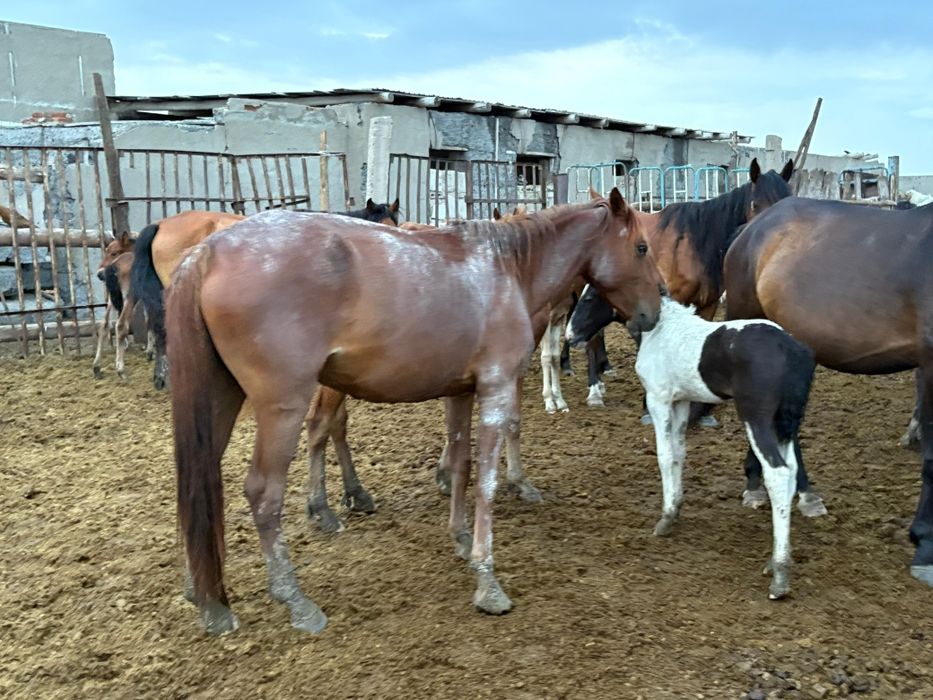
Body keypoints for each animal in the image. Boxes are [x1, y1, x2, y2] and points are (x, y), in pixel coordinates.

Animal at [165, 189, 663, 635]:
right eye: (641, 247)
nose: (656, 308)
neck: (507, 270)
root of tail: (209, 251)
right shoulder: (497, 388)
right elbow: (487, 480)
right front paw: (487, 579)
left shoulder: (461, 393)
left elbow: (460, 465)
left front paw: (460, 538)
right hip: (281, 407)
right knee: (263, 493)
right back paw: (295, 600)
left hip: (221, 398)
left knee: (201, 478)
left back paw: (206, 596)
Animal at [627, 296, 816, 599]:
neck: (664, 327)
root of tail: (792, 350)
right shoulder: (681, 400)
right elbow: (679, 453)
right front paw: (675, 509)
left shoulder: (658, 398)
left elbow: (665, 455)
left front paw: (665, 518)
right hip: (785, 424)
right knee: (790, 474)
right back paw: (774, 562)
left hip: (757, 419)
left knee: (777, 473)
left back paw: (780, 577)